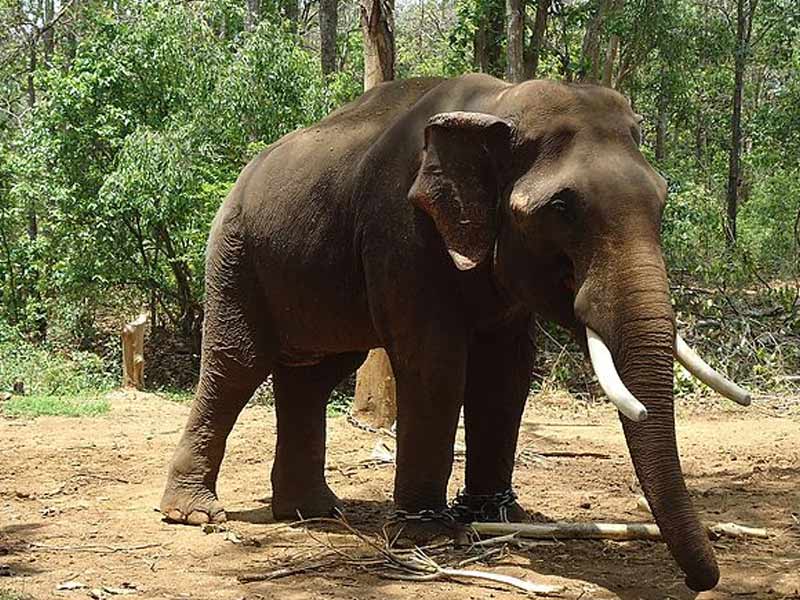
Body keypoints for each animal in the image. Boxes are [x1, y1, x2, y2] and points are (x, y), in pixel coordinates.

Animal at [161, 74, 752, 592]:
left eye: (662, 197)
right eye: (562, 208)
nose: (701, 582)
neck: (496, 104)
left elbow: (507, 370)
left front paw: (497, 515)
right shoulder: (401, 229)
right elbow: (436, 362)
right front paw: (425, 533)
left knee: (315, 375)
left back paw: (314, 511)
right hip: (236, 256)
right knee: (236, 365)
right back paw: (196, 514)